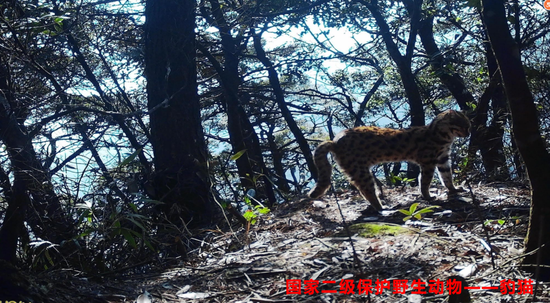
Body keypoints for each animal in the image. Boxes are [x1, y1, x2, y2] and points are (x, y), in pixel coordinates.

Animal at [308, 110, 472, 213]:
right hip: (360, 171)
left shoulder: (443, 159)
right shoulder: (428, 162)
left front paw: (454, 189)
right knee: (367, 190)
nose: (469, 133)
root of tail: (334, 141)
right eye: (464, 125)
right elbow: (424, 181)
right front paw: (428, 196)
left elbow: (447, 177)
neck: (444, 137)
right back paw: (382, 207)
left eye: (468, 125)